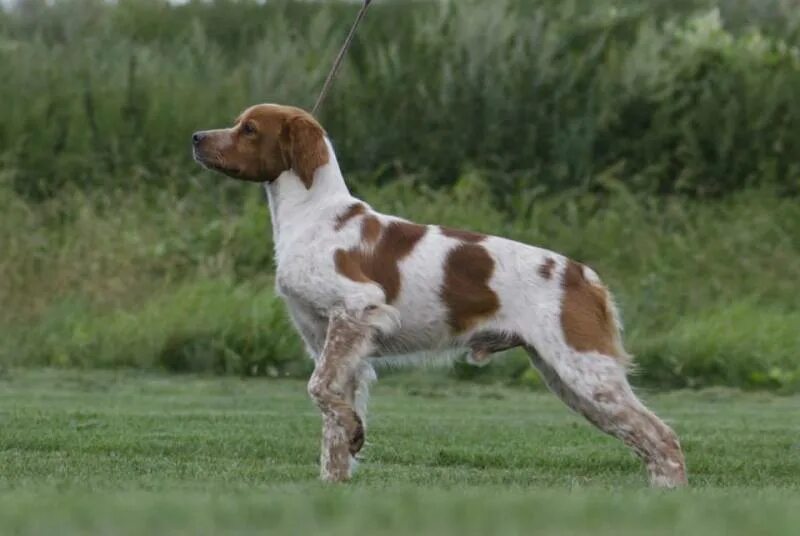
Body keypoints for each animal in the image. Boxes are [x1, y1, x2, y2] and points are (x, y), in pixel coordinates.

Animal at [192, 103, 688, 486]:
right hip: (568, 380)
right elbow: (332, 429)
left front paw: (353, 432)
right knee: (646, 440)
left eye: (248, 128)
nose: (196, 137)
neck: (314, 216)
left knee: (663, 438)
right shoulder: (331, 342)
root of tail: (583, 274)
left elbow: (318, 391)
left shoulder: (358, 308)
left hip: (586, 373)